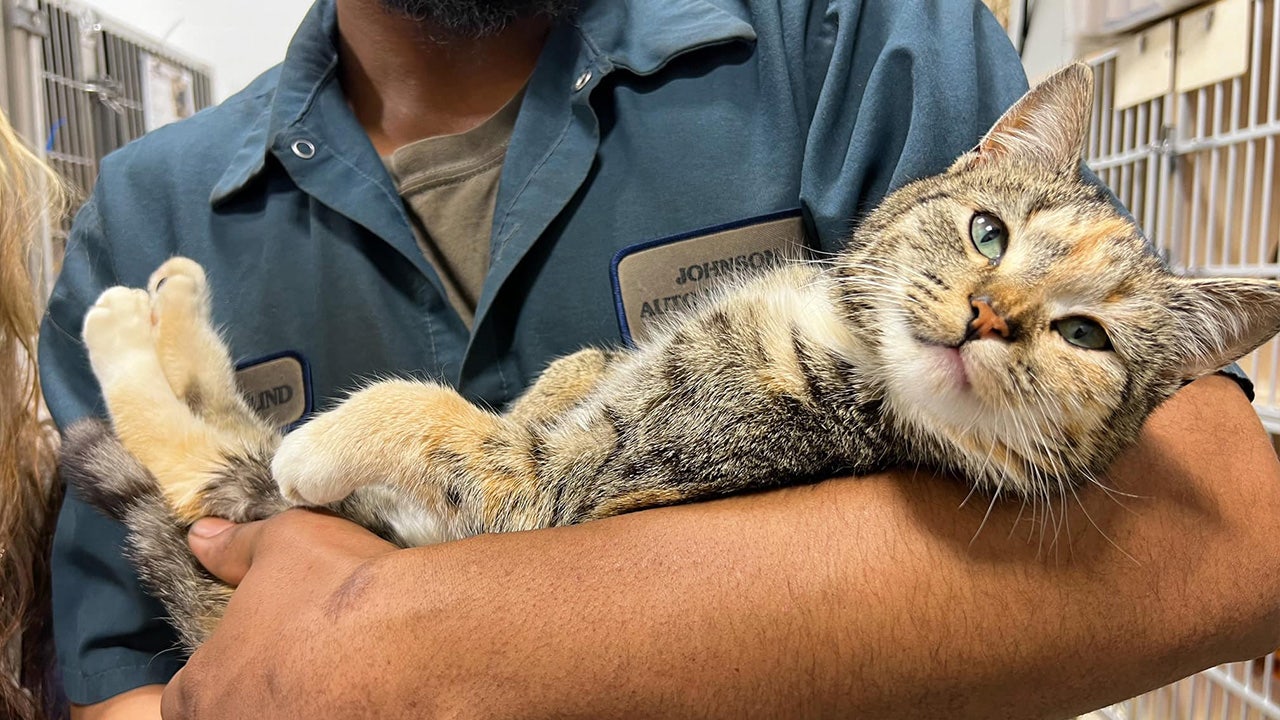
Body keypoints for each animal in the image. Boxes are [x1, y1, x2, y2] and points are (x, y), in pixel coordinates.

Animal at [62, 64, 1280, 650]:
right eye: (990, 233)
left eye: (1083, 335)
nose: (990, 315)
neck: (836, 339)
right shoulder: (585, 399)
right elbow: (567, 375)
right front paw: (556, 377)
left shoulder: (551, 487)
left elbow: (447, 424)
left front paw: (327, 442)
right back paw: (165, 300)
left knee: (199, 465)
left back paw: (133, 330)